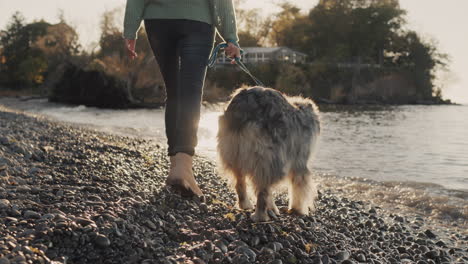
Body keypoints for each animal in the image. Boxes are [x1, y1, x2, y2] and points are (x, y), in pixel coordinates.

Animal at [217, 87, 320, 223]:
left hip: (233, 153)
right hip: (270, 159)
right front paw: (297, 209)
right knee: (263, 190)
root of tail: (245, 109)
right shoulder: (300, 162)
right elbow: (299, 187)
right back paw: (260, 216)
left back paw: (245, 205)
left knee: (240, 182)